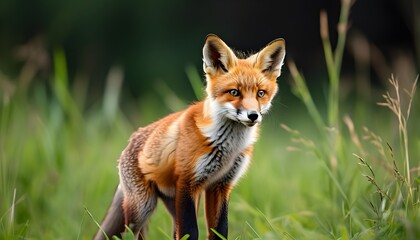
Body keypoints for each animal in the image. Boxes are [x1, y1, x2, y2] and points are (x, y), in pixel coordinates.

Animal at [94, 34, 286, 240]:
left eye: (260, 93)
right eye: (234, 92)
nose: (253, 116)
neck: (228, 147)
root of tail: (131, 140)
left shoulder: (220, 185)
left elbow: (220, 230)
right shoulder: (187, 183)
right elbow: (191, 231)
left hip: (174, 204)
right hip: (143, 207)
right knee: (127, 234)